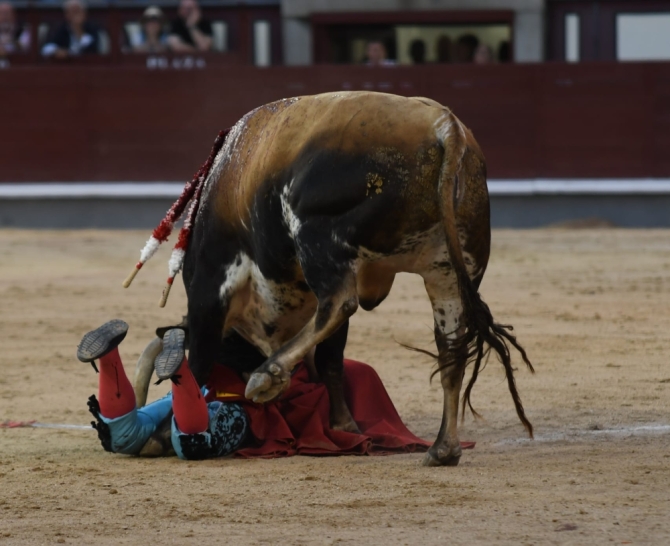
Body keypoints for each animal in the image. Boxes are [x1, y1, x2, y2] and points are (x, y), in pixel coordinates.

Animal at [124, 91, 536, 466]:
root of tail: (445, 128)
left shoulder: (210, 289)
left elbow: (198, 364)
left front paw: (168, 434)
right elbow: (331, 360)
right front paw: (345, 426)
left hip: (317, 234)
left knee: (339, 303)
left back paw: (267, 375)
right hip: (449, 271)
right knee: (450, 347)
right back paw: (442, 449)